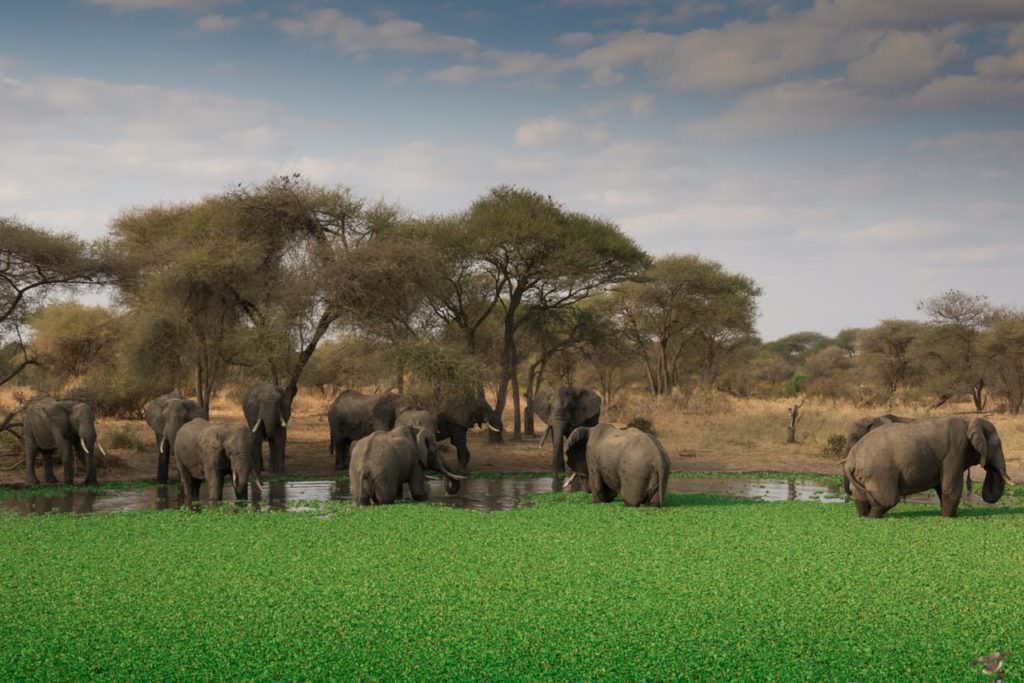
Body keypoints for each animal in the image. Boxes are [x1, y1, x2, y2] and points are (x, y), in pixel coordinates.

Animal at [843, 416, 1015, 518]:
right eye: (998, 445)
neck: (970, 421)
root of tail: (851, 460)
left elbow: (941, 489)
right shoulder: (955, 452)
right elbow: (950, 489)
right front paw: (948, 518)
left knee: (862, 499)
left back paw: (864, 516)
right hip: (880, 473)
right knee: (886, 501)